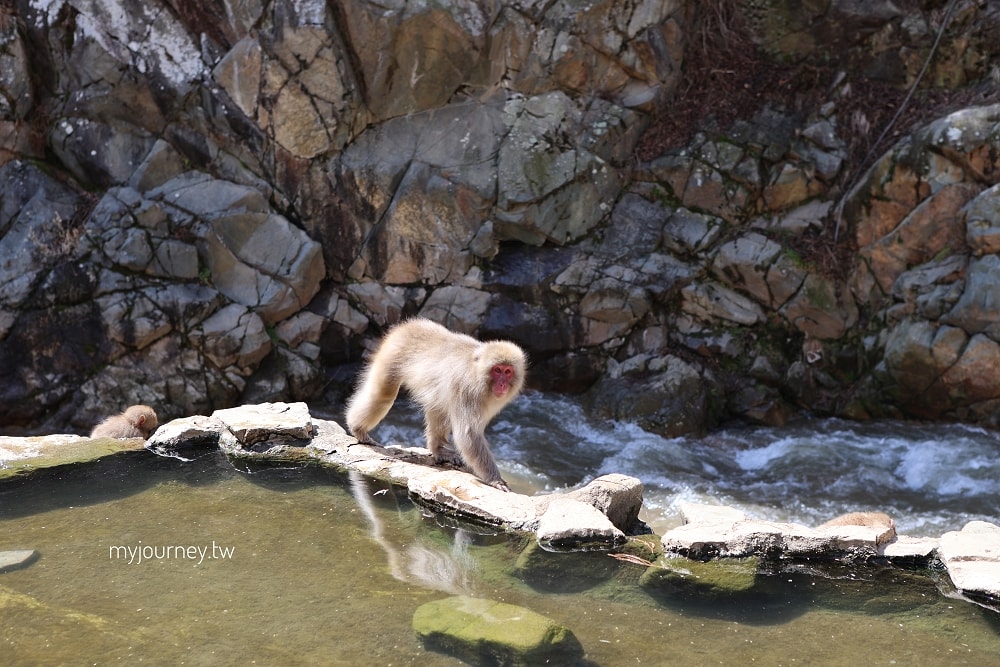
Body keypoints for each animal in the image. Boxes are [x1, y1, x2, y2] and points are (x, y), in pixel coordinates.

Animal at [345, 318, 527, 492]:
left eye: (508, 371)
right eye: (497, 370)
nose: (502, 384)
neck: (477, 373)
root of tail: (408, 325)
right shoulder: (466, 389)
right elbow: (468, 435)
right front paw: (495, 479)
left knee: (438, 407)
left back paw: (437, 450)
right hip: (392, 354)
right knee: (383, 395)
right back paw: (358, 429)